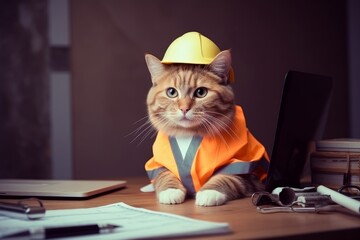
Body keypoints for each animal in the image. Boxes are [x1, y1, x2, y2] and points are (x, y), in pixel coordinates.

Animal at [145, 49, 268, 206]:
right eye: (171, 92)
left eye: (201, 92)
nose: (184, 108)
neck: (187, 134)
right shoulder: (158, 164)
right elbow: (164, 174)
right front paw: (171, 190)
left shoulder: (243, 167)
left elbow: (226, 177)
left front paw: (209, 192)